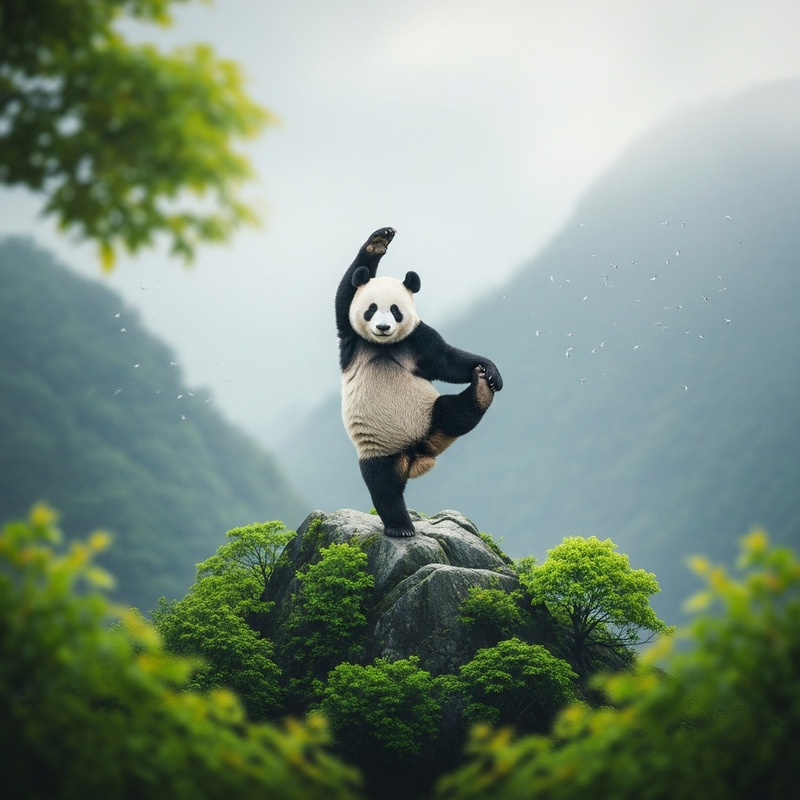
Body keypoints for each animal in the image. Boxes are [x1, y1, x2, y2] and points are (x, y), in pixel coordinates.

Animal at [336, 226, 503, 538]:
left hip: (427, 412)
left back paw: (482, 389)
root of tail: (415, 454)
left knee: (454, 413)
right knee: (383, 486)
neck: (384, 346)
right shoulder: (351, 337)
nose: (383, 327)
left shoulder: (417, 339)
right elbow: (345, 294)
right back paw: (400, 527)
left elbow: (448, 361)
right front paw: (377, 242)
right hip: (379, 448)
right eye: (371, 309)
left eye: (395, 310)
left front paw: (491, 372)